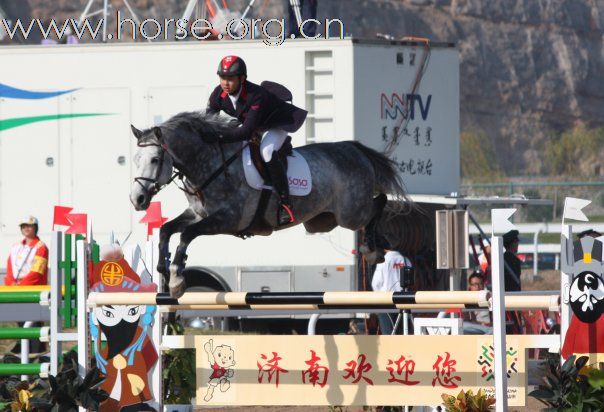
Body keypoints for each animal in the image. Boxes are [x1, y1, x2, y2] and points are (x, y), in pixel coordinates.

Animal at [130, 111, 408, 298]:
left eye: (155, 159)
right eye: (135, 159)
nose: (137, 199)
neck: (211, 164)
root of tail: (355, 150)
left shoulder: (228, 219)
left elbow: (186, 235)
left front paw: (176, 278)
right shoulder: (198, 214)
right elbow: (167, 229)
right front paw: (162, 267)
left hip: (350, 214)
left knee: (379, 203)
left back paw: (371, 249)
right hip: (322, 222)